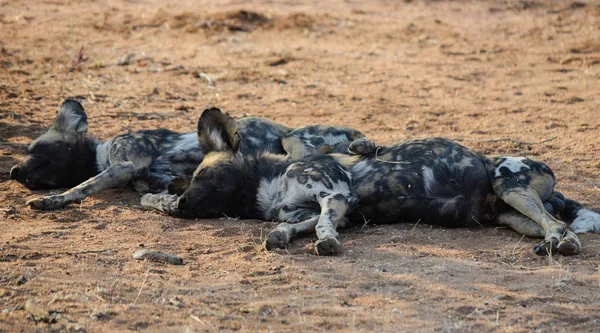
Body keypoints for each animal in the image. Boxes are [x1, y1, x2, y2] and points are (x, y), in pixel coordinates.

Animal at [10, 98, 366, 209]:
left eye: (36, 149)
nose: (13, 171)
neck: (100, 153)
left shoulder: (125, 163)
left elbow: (80, 186)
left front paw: (53, 200)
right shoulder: (153, 178)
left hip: (293, 139)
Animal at [143, 107, 600, 255]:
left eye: (204, 176)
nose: (181, 205)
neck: (267, 183)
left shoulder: (334, 193)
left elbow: (322, 226)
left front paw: (326, 244)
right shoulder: (331, 208)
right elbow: (294, 226)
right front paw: (282, 237)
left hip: (510, 182)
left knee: (556, 223)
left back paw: (561, 246)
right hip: (510, 215)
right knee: (552, 225)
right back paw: (556, 244)